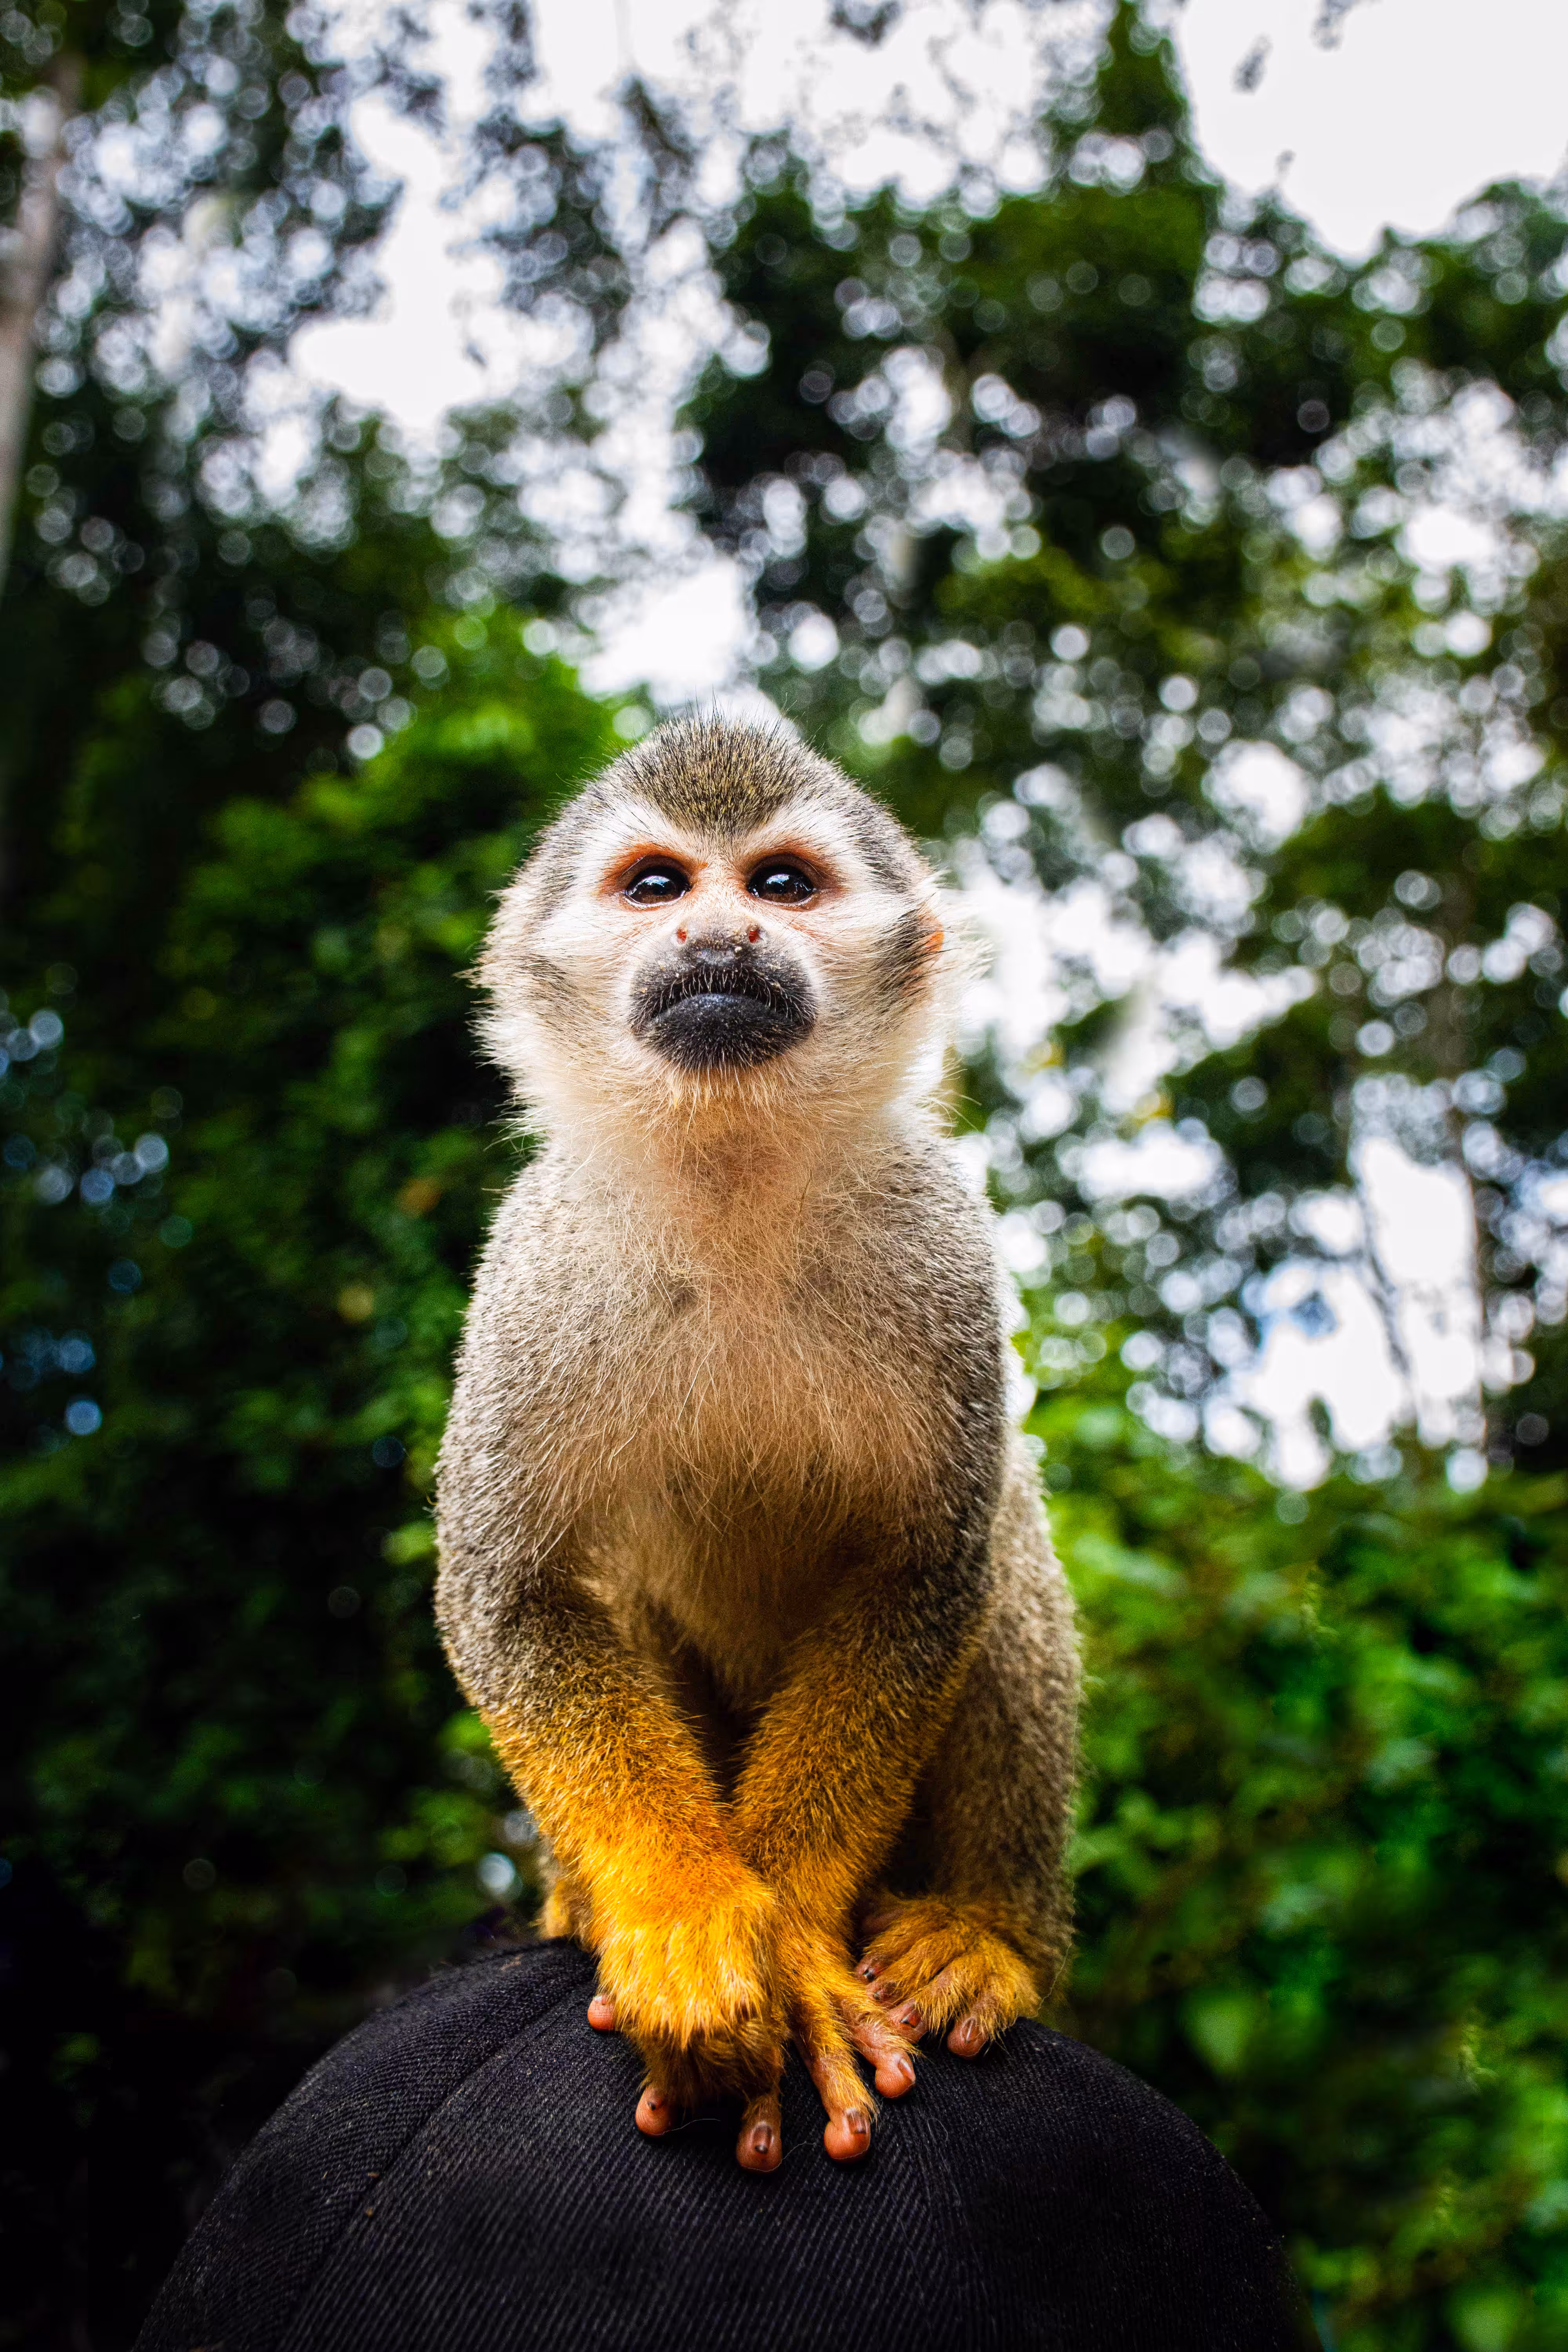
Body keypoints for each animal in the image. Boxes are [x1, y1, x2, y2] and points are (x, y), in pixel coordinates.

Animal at [434, 713, 1079, 2174]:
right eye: (658, 887)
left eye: (781, 885)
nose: (720, 937)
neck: (729, 1166)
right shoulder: (537, 1262)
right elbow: (513, 1591)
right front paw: (686, 1918)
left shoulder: (939, 1246)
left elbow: (925, 1572)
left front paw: (784, 1937)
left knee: (1004, 1547)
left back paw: (990, 1932)